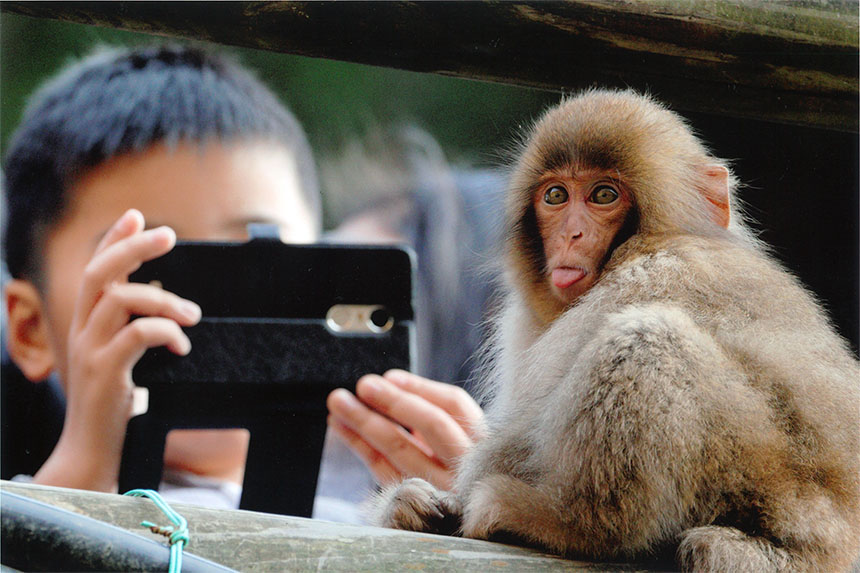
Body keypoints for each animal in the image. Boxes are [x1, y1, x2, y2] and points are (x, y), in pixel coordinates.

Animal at [372, 90, 860, 572]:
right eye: (556, 195)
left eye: (603, 195)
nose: (571, 234)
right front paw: (414, 506)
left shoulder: (652, 269)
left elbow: (525, 428)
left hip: (766, 482)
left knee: (646, 338)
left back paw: (570, 523)